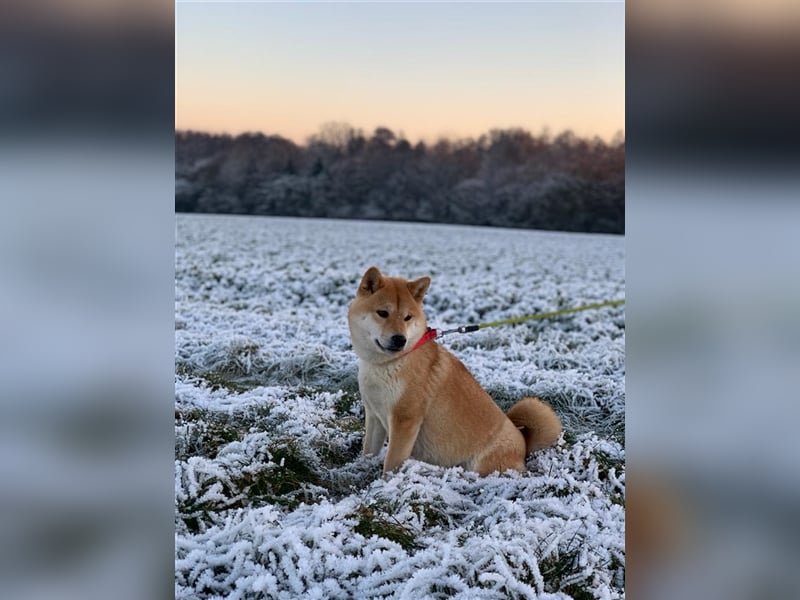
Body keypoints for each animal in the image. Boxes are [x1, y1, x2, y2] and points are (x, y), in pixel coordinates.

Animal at [348, 268, 564, 478]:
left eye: (407, 317)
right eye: (382, 313)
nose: (400, 339)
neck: (387, 364)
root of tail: (524, 445)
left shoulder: (405, 421)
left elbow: (391, 463)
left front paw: (385, 483)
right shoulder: (374, 415)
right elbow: (368, 450)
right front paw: (359, 469)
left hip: (482, 464)